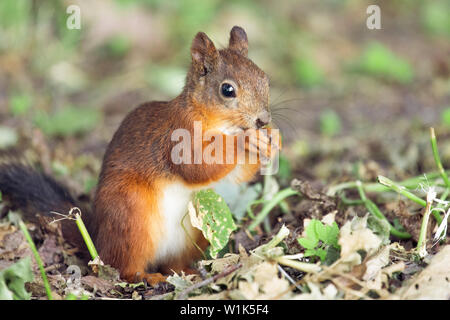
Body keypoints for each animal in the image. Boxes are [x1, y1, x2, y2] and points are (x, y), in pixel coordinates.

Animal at [0, 26, 280, 284]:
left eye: (265, 79)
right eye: (227, 90)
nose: (263, 120)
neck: (215, 121)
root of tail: (97, 239)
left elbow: (236, 176)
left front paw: (271, 139)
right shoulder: (177, 137)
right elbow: (196, 165)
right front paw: (244, 140)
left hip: (195, 232)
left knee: (171, 264)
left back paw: (185, 272)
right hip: (131, 217)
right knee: (123, 267)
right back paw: (147, 276)